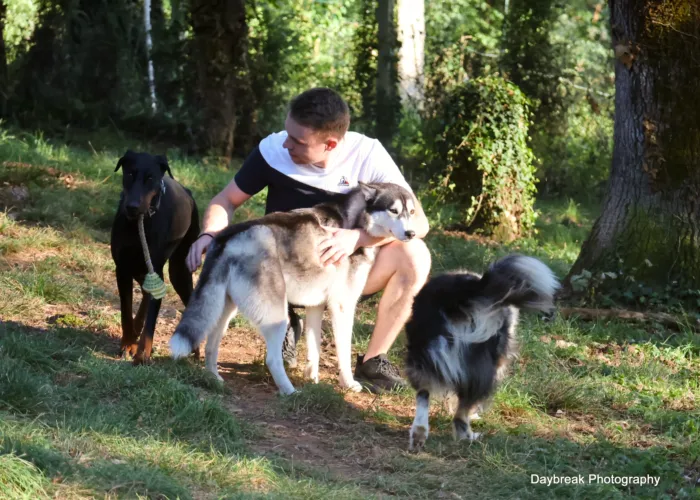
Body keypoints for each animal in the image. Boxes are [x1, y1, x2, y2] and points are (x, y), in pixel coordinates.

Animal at [110, 148, 201, 364]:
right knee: (145, 294)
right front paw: (128, 343)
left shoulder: (155, 268)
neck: (139, 224)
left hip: (179, 269)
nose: (132, 206)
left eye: (150, 178)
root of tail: (188, 193)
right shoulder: (122, 268)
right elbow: (126, 311)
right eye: (130, 173)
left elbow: (151, 321)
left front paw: (143, 354)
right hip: (140, 268)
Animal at [404, 256, 556, 452]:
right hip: (488, 366)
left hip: (420, 357)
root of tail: (459, 294)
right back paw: (469, 436)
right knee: (462, 411)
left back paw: (419, 435)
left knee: (423, 394)